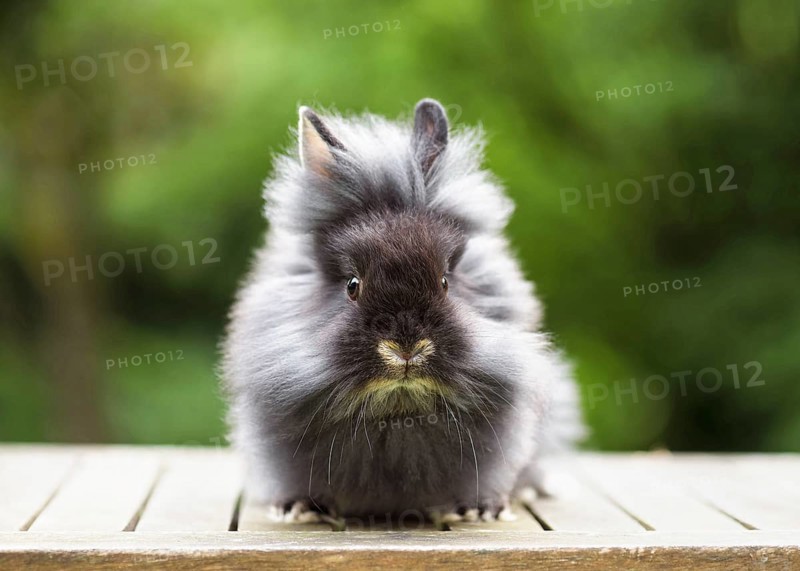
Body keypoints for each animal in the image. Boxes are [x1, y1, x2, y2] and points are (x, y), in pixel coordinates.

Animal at [221, 98, 584, 523]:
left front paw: (480, 511)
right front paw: (297, 508)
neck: (399, 409)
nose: (406, 349)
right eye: (353, 285)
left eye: (445, 281)